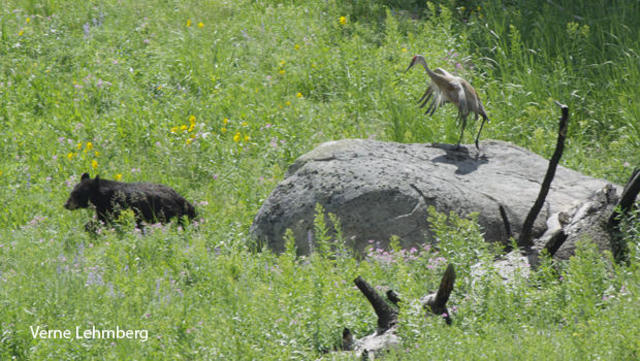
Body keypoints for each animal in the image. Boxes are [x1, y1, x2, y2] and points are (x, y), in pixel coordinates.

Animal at [65, 172, 196, 228]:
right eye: (72, 192)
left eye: (77, 194)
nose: (66, 205)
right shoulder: (102, 208)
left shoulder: (114, 206)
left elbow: (108, 221)